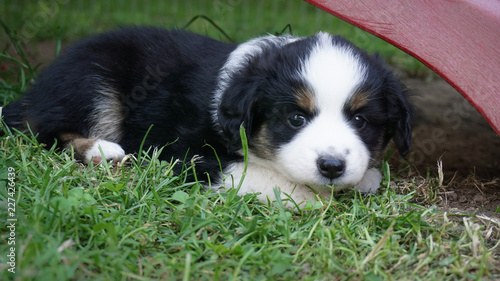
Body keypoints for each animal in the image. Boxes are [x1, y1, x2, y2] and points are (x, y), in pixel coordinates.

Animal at [1, 26, 412, 206]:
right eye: (296, 119)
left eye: (360, 121)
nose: (331, 167)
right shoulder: (180, 152)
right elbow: (252, 174)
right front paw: (307, 196)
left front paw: (363, 178)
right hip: (92, 80)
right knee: (42, 129)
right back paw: (101, 151)